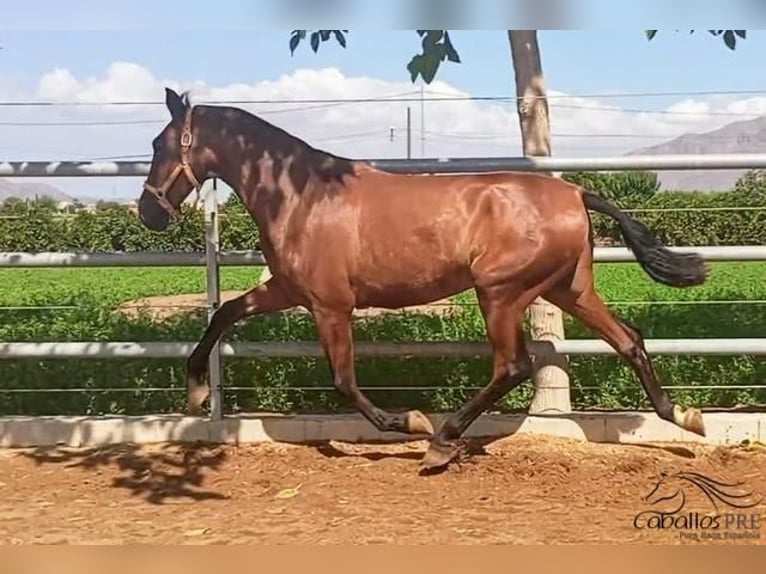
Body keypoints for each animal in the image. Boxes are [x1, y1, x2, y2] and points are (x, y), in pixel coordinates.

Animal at [138, 86, 712, 472]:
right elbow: (225, 311)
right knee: (629, 339)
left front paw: (411, 423)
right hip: (567, 290)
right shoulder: (287, 289)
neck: (304, 194)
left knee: (514, 365)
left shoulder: (330, 304)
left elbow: (343, 380)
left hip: (500, 292)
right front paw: (195, 390)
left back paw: (442, 442)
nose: (148, 212)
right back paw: (685, 416)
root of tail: (575, 193)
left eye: (160, 143)